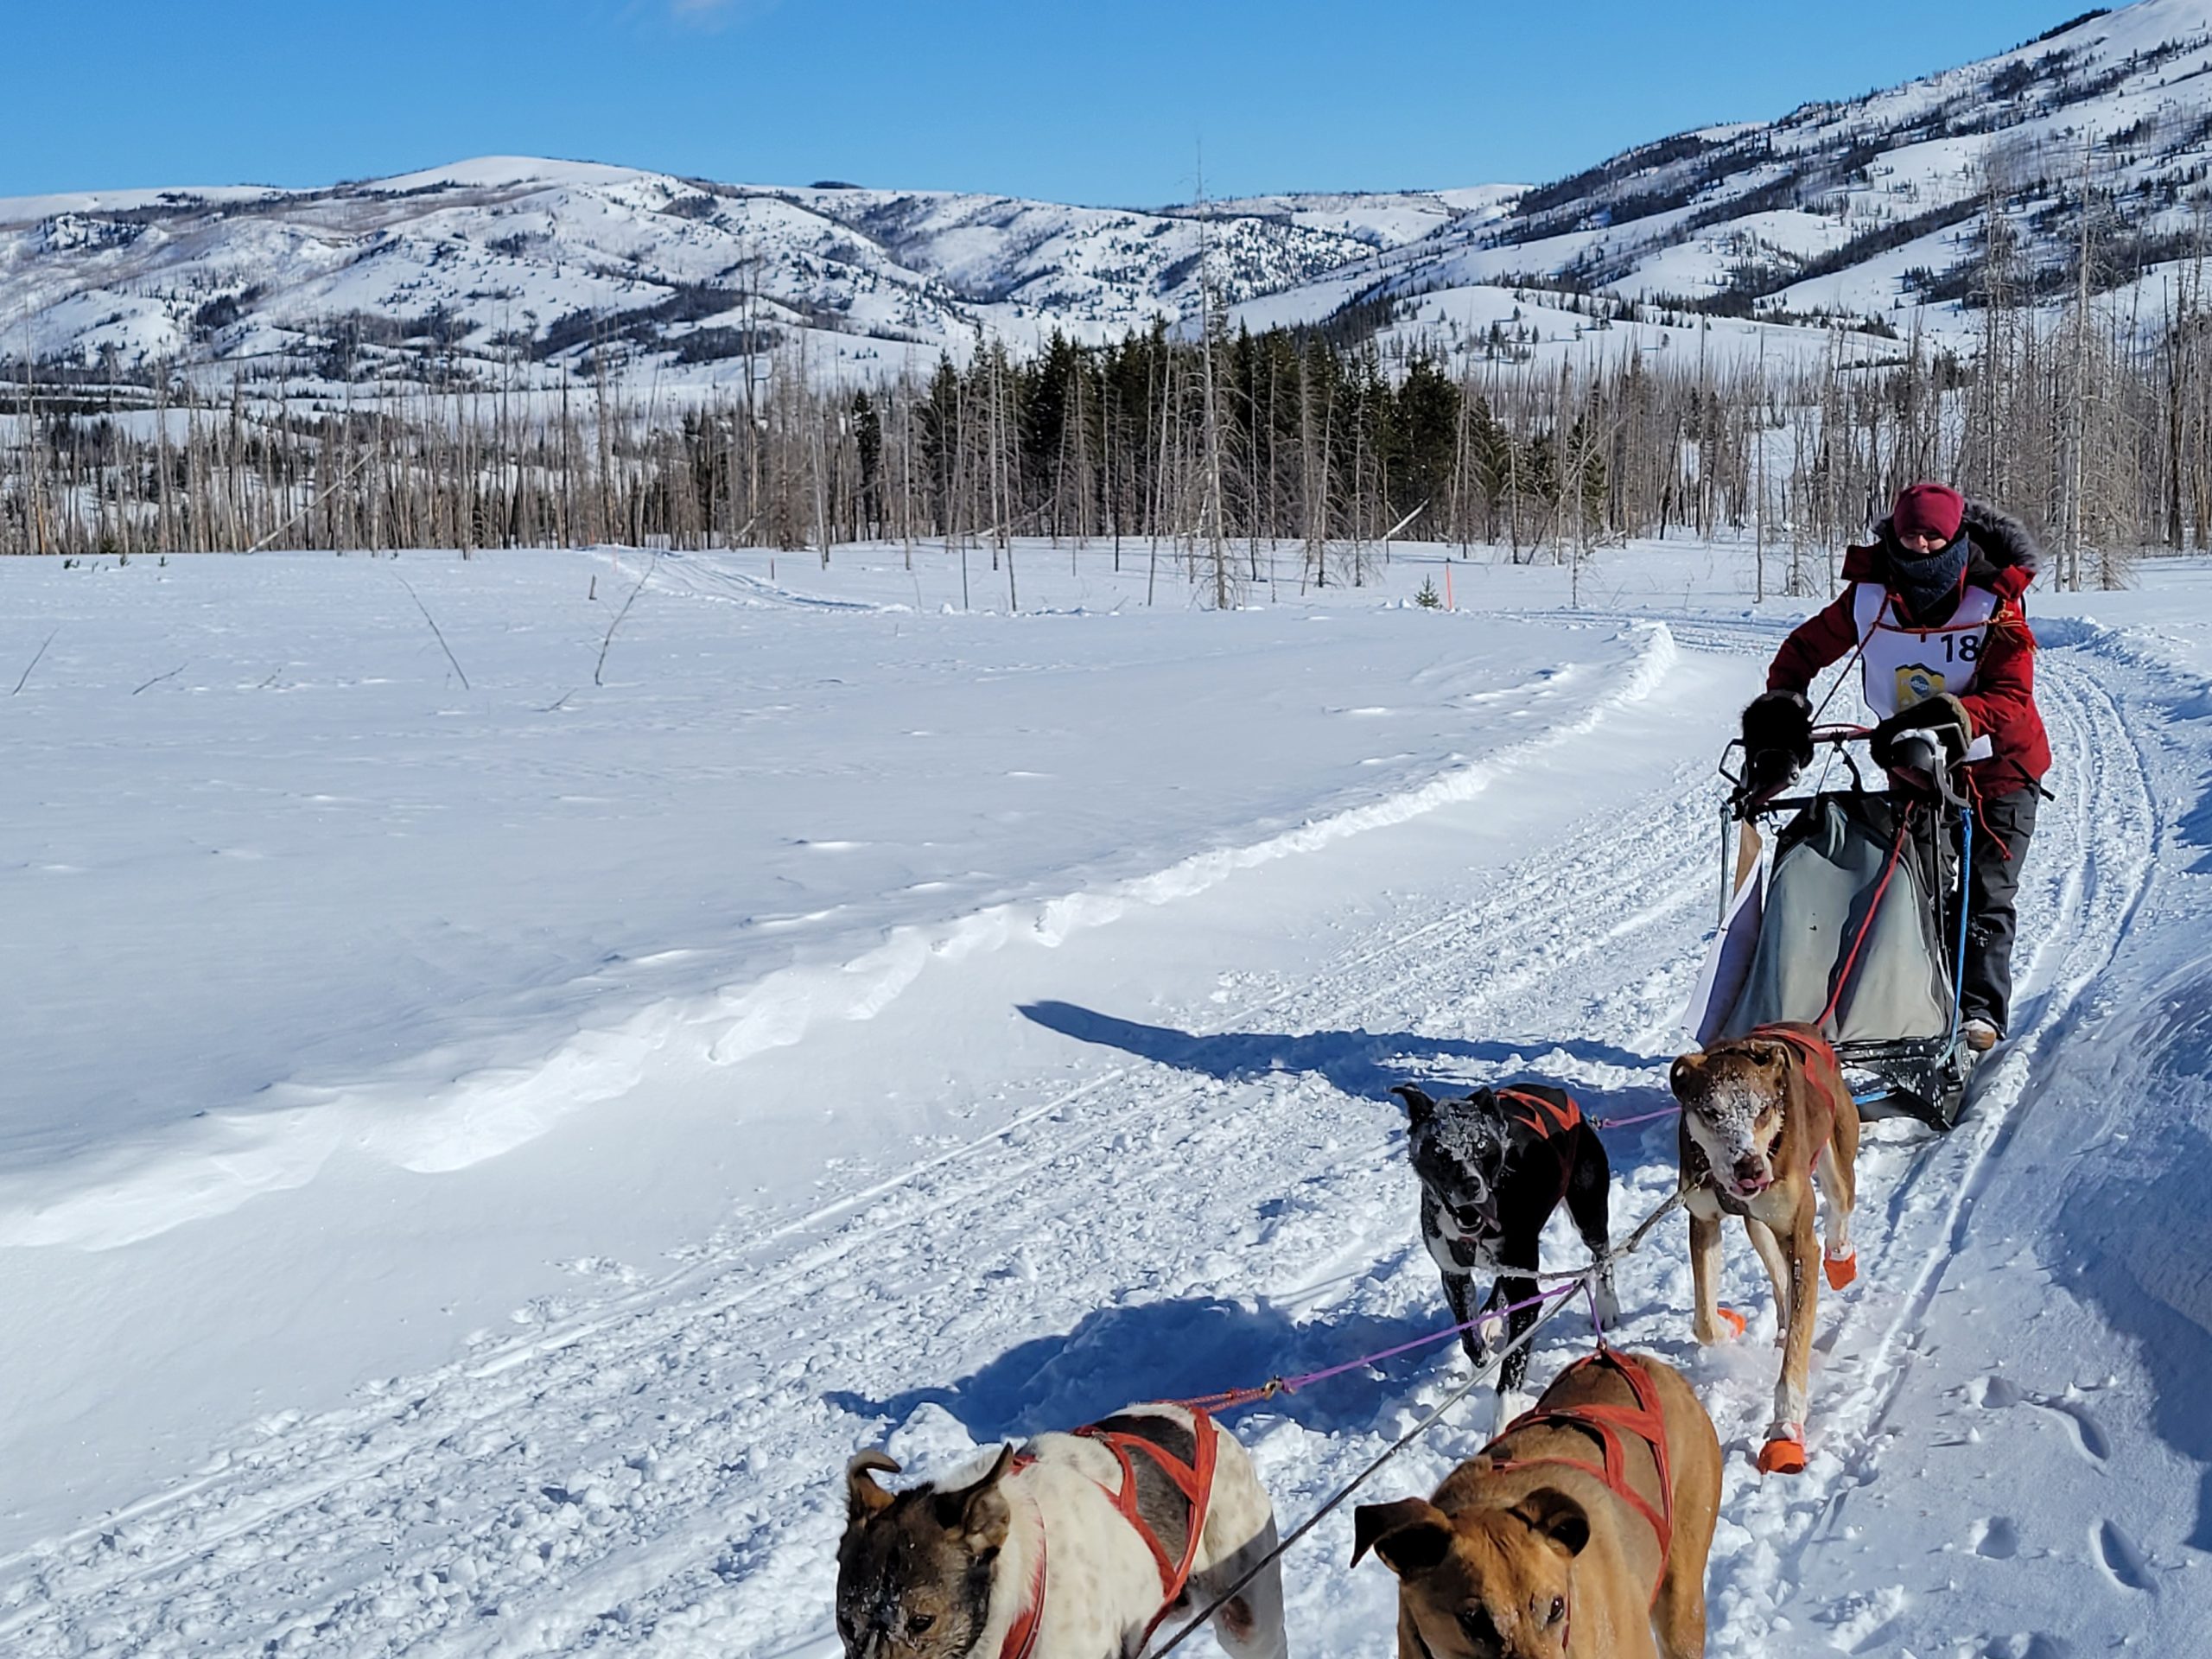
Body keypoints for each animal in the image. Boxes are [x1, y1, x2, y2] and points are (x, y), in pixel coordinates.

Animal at [1392, 1082, 1618, 1421]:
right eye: (1439, 1151)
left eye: (1481, 1145)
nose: (1471, 1185)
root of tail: (1556, 1091)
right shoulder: (1454, 1275)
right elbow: (1470, 1341)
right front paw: (1481, 1359)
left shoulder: (1525, 1292)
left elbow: (1511, 1370)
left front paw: (1504, 1417)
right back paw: (1490, 1318)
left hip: (1588, 1215)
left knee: (1603, 1257)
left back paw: (1607, 1306)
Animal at [1669, 1021, 1861, 1473]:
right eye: (1711, 1112)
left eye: (1763, 1110)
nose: (1750, 1168)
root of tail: (1808, 1026)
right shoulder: (1704, 1221)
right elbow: (1704, 1322)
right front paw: (1725, 1329)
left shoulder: (1801, 1238)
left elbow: (1796, 1354)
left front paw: (1786, 1427)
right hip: (1758, 1225)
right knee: (1778, 1274)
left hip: (1836, 1162)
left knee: (1839, 1210)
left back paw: (1840, 1259)